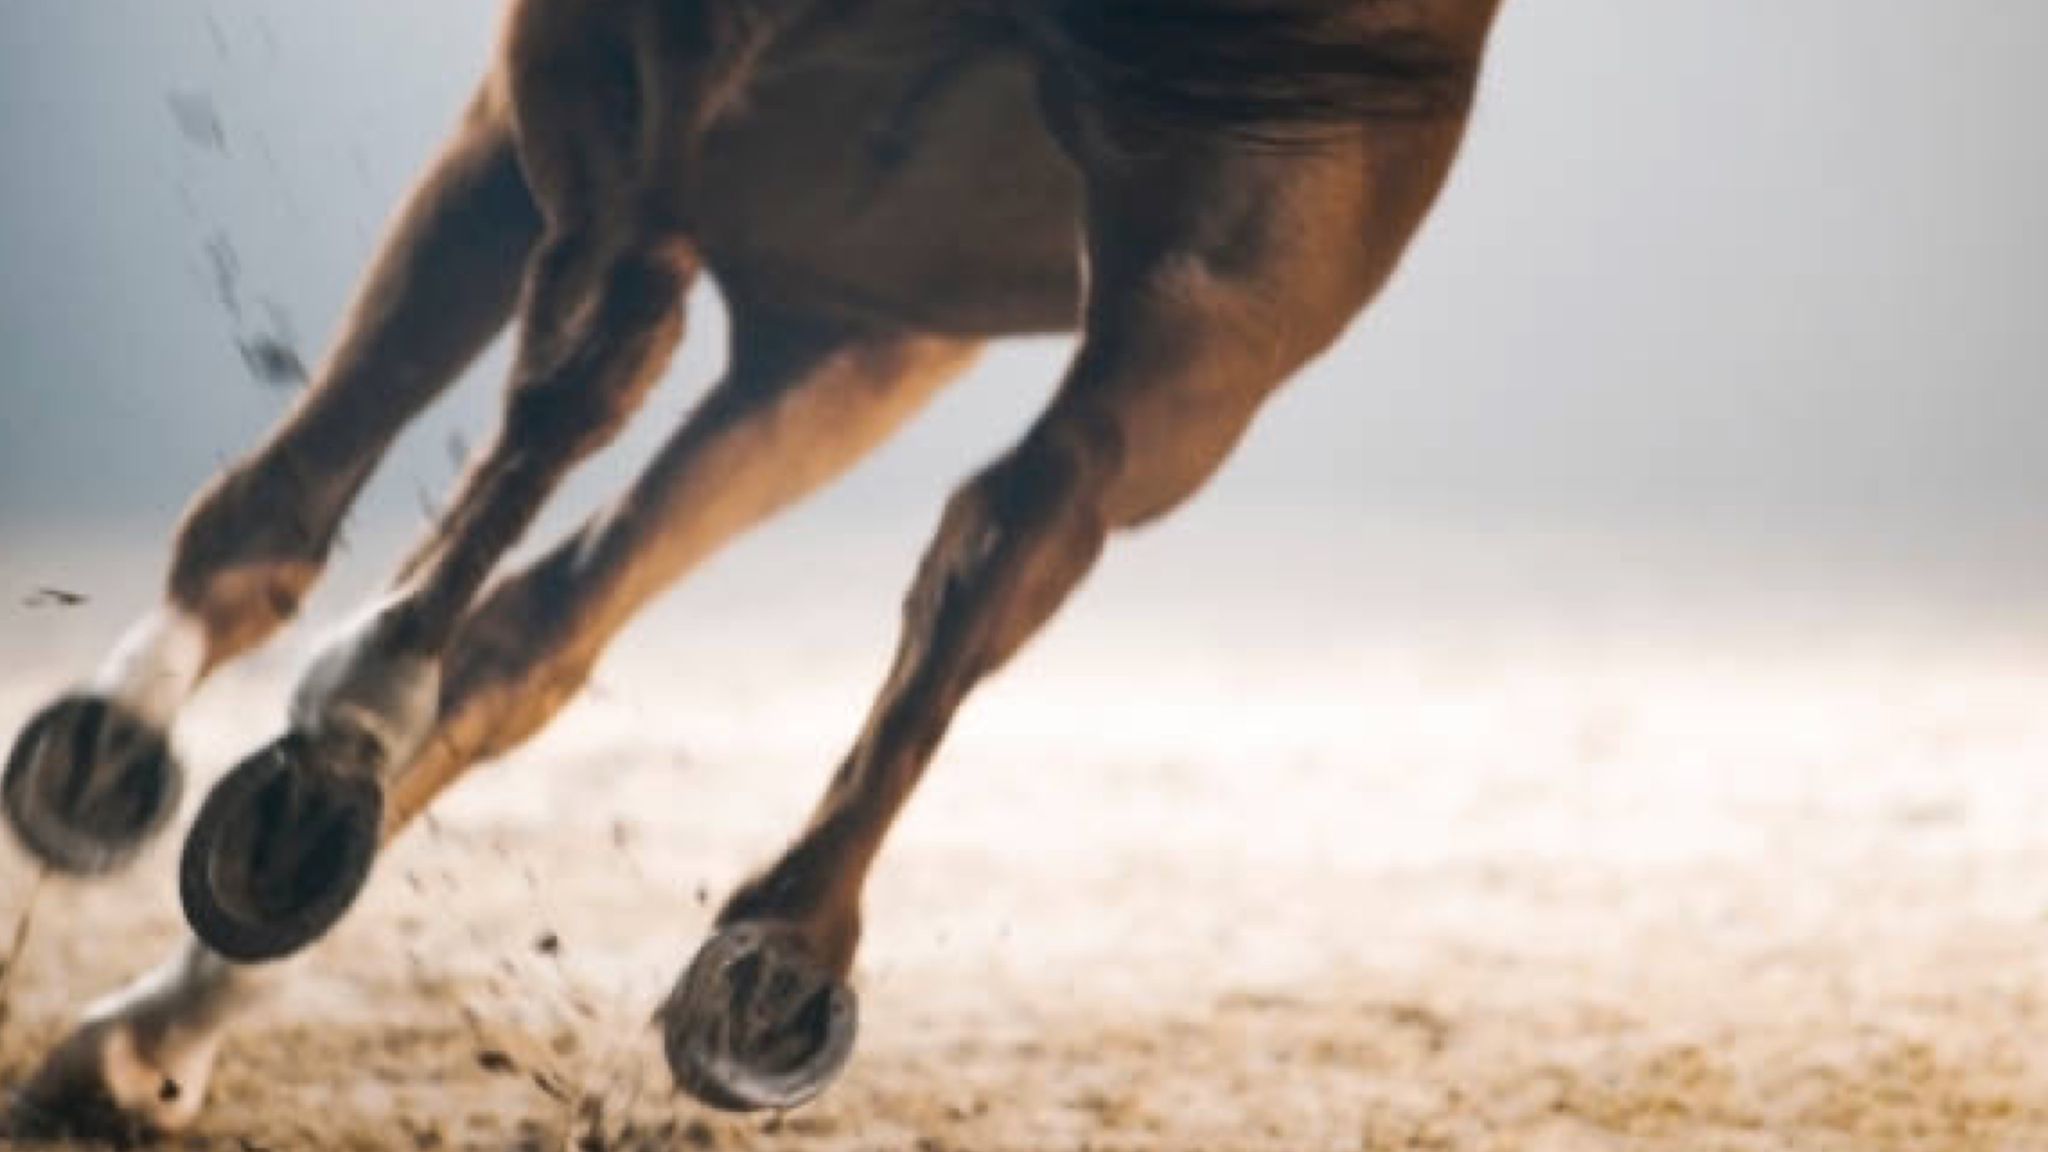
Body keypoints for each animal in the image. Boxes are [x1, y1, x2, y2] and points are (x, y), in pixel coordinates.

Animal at [0, 0, 1507, 1131]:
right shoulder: (854, 335)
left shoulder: (568, 153)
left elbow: (302, 511)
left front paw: (125, 764)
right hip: (1201, 304)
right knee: (992, 524)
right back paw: (760, 947)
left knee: (621, 366)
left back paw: (331, 770)